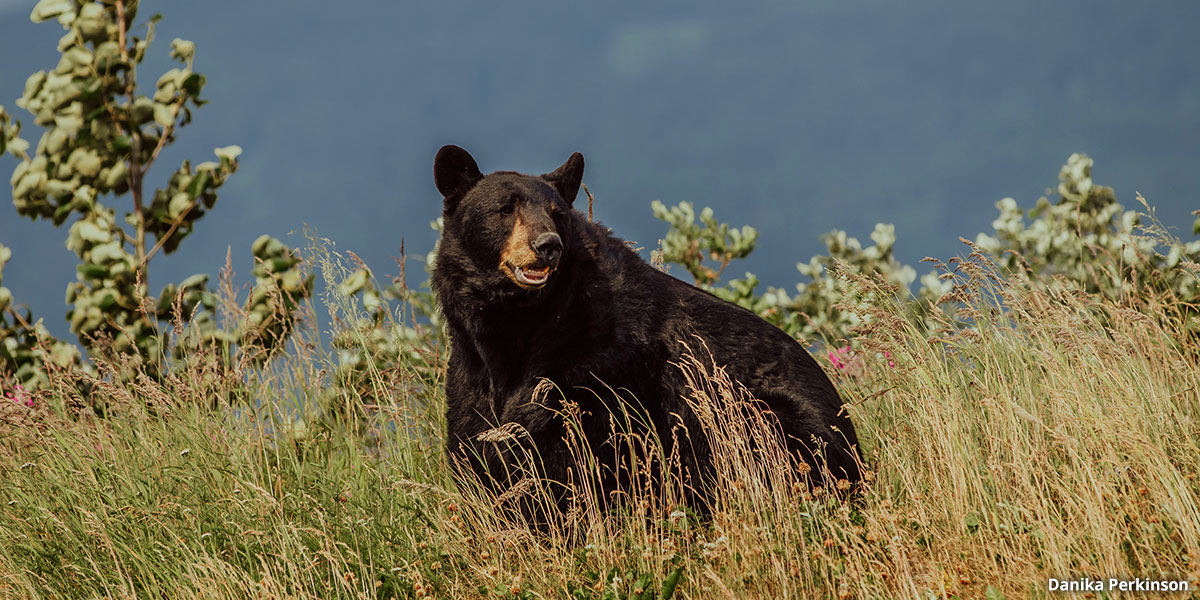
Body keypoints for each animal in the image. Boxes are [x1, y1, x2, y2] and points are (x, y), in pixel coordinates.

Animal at [432, 144, 864, 511]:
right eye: (505, 209)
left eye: (557, 213)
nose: (548, 245)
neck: (518, 323)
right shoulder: (470, 369)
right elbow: (477, 441)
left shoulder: (595, 366)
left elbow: (573, 451)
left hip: (764, 417)